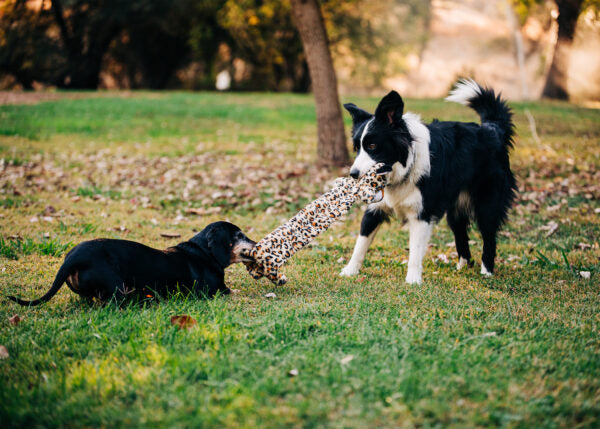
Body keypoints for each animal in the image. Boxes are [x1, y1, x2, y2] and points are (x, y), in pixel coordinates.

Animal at [7, 221, 255, 304]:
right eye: (240, 235)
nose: (256, 242)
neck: (204, 252)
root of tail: (74, 257)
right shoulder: (217, 291)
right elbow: (234, 291)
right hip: (117, 287)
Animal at [340, 78, 516, 282]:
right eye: (357, 148)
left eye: (373, 146)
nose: (353, 174)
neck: (404, 167)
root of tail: (492, 129)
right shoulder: (375, 209)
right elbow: (360, 244)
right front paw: (350, 271)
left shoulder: (422, 213)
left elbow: (415, 251)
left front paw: (413, 280)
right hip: (455, 209)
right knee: (461, 234)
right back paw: (462, 268)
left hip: (487, 204)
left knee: (489, 237)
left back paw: (486, 272)